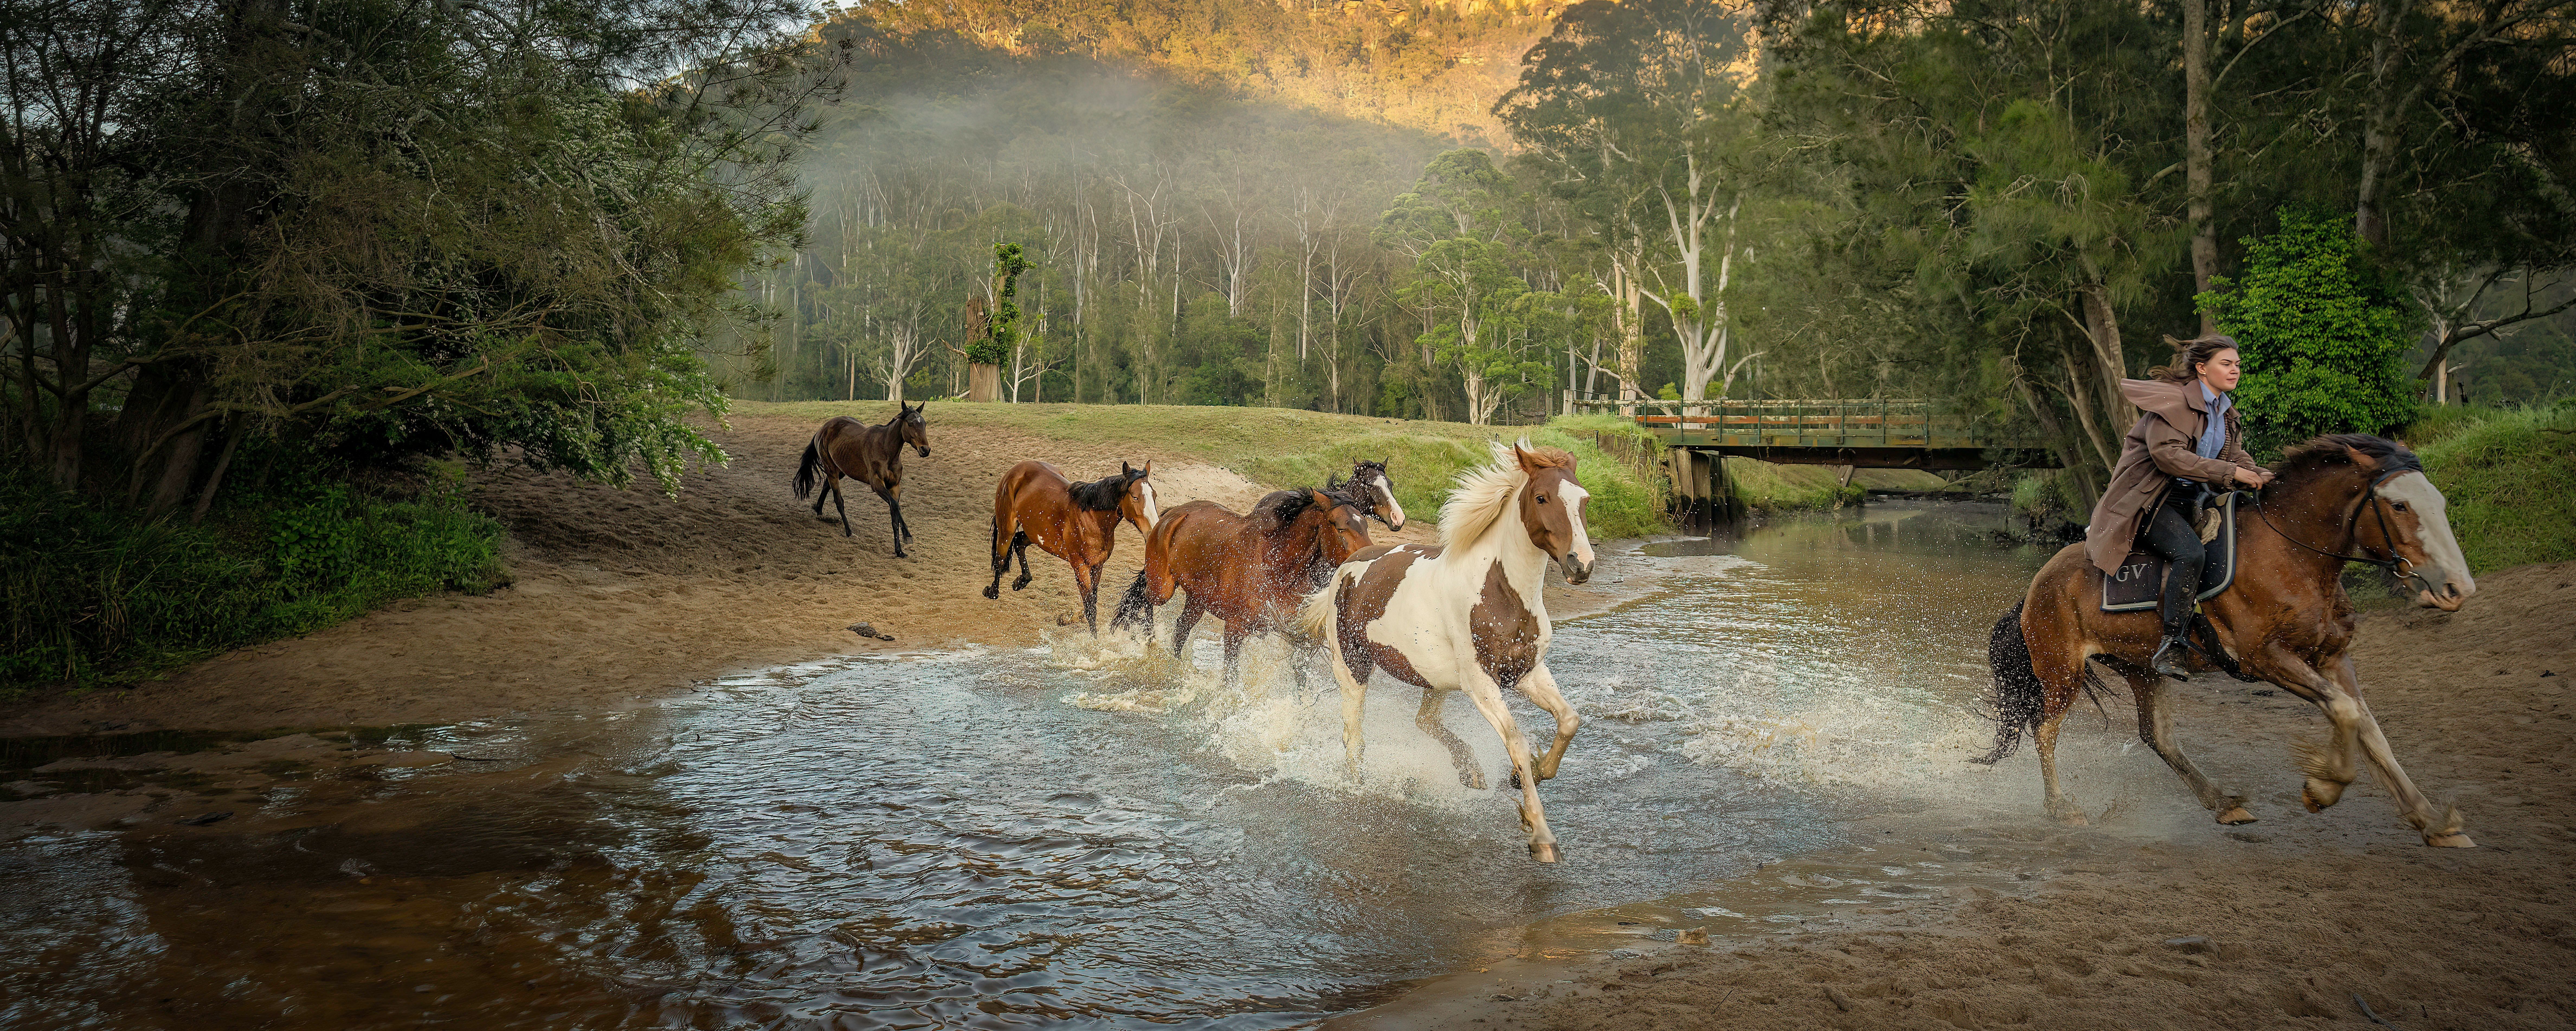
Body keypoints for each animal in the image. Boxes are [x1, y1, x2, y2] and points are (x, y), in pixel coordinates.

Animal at [792, 402, 931, 557]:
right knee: (839, 500)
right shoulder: (877, 484)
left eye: (924, 424)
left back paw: (819, 510)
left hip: (841, 470)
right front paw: (901, 545)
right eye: (910, 424)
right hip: (832, 470)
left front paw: (903, 544)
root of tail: (822, 429)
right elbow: (895, 507)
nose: (925, 450)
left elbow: (895, 510)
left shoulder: (895, 487)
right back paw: (849, 532)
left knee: (827, 486)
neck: (886, 450)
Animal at [986, 460, 1161, 634]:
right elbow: (1090, 606)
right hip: (1007, 528)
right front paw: (1094, 638)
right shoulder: (1080, 566)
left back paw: (1021, 582)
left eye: (1155, 496)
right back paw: (992, 592)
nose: (1153, 530)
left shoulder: (1098, 566)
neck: (1092, 518)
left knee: (1018, 543)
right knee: (1001, 558)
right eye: (1135, 497)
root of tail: (1016, 469)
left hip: (1034, 533)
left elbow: (1093, 600)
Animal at [1108, 482, 1376, 685]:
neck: (1275, 567)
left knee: (1181, 628)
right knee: (1142, 598)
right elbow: (1231, 677)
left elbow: (1300, 677)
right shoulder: (1234, 630)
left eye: (1364, 523)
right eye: (1340, 528)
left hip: (1197, 600)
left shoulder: (1298, 634)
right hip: (1162, 588)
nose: (1369, 562)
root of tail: (1174, 513)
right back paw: (1144, 637)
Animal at [1298, 441, 1595, 863]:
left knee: (1424, 721)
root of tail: (1345, 569)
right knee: (1354, 739)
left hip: (1435, 678)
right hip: (1353, 669)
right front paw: (1541, 835)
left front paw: (1528, 775)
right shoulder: (1481, 684)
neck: (1502, 593)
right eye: (1542, 498)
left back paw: (1470, 771)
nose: (1581, 564)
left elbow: (1570, 720)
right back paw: (1360, 788)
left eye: (1584, 499)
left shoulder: (1527, 671)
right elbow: (1517, 743)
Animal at [1977, 434, 2479, 847]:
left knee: (2157, 736)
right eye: (2399, 505)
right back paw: (2061, 807)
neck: (2291, 554)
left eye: (2437, 500)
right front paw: (2323, 788)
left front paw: (2432, 820)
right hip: (2062, 671)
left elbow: (2368, 729)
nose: (2457, 588)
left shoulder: (2333, 658)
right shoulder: (2266, 658)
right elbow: (2343, 711)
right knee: (2045, 730)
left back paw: (2222, 802)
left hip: (2140, 668)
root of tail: (2036, 586)